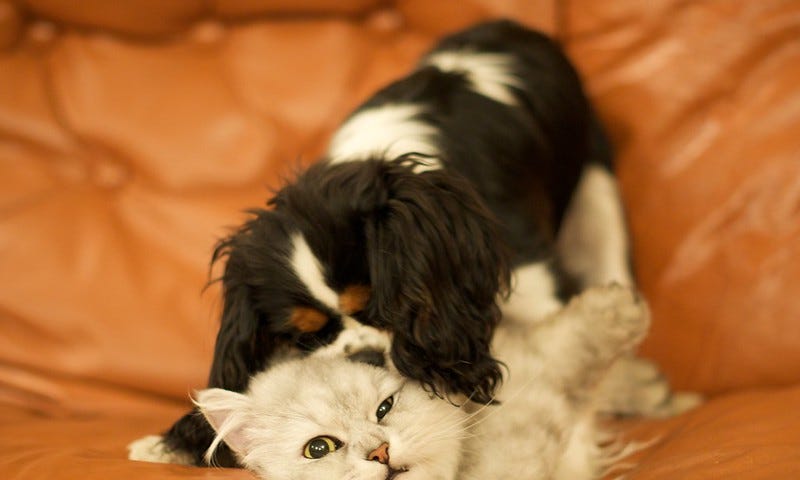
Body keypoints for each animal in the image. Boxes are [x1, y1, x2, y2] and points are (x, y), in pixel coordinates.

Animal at [194, 284, 648, 480]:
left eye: (384, 408)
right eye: (318, 448)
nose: (380, 453)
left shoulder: (531, 369)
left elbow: (574, 336)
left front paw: (623, 307)